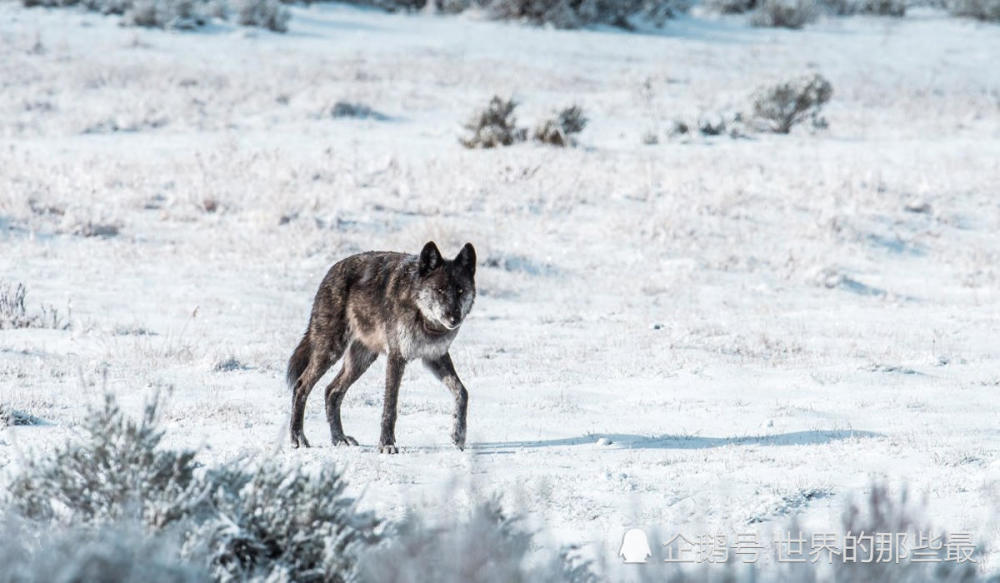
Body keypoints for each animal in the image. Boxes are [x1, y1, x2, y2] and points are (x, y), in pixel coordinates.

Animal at [288, 242, 478, 456]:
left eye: (460, 290)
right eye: (440, 290)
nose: (454, 318)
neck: (422, 317)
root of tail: (331, 271)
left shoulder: (435, 357)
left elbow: (462, 392)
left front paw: (459, 435)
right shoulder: (397, 357)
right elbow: (390, 407)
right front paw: (387, 444)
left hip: (362, 359)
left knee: (332, 391)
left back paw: (339, 439)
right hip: (330, 350)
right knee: (301, 386)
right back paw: (298, 438)